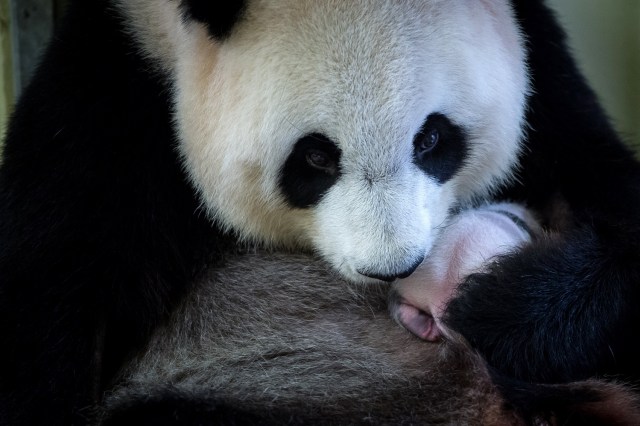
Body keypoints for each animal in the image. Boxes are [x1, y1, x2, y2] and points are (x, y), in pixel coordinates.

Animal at [0, 0, 636, 424]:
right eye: (315, 157)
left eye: (432, 139)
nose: (394, 268)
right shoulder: (103, 117)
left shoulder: (543, 67)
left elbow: (608, 192)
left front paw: (499, 305)